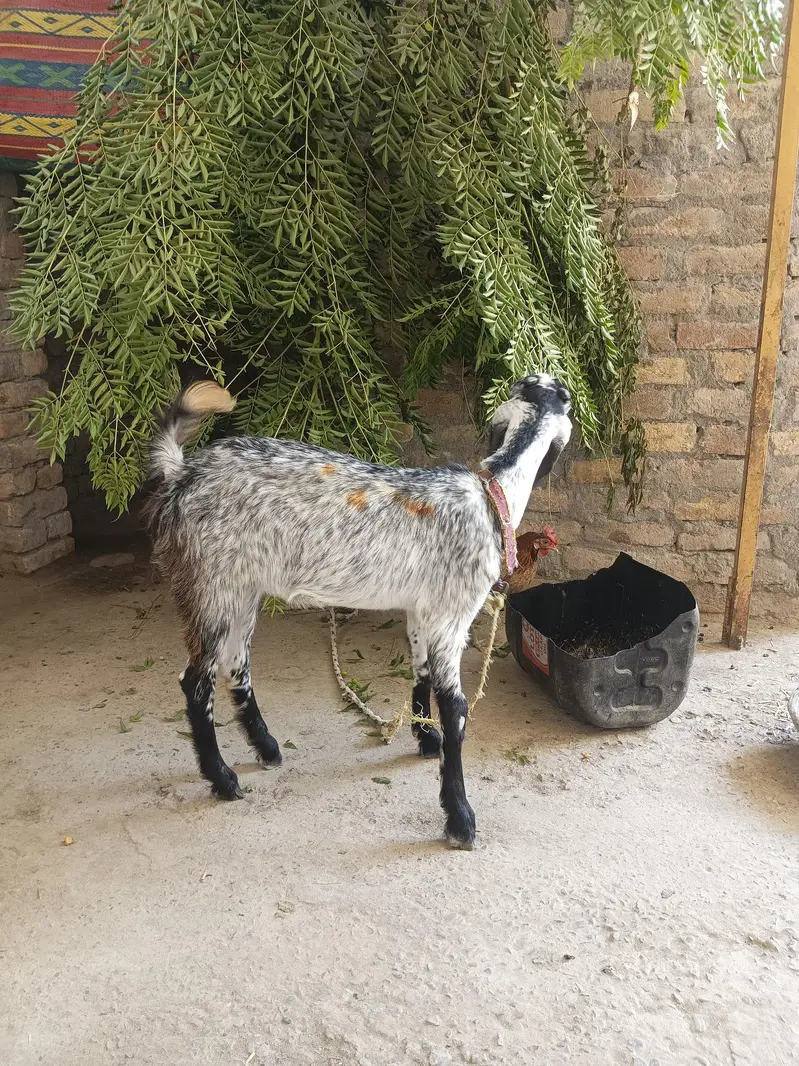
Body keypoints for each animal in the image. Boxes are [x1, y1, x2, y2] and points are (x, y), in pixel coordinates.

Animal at [144, 374, 572, 848]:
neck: (491, 496)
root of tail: (181, 474)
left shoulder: (421, 609)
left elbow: (421, 671)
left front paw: (425, 738)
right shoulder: (452, 613)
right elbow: (456, 708)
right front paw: (460, 817)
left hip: (242, 589)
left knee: (237, 664)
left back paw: (267, 747)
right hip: (211, 586)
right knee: (196, 682)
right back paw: (222, 779)